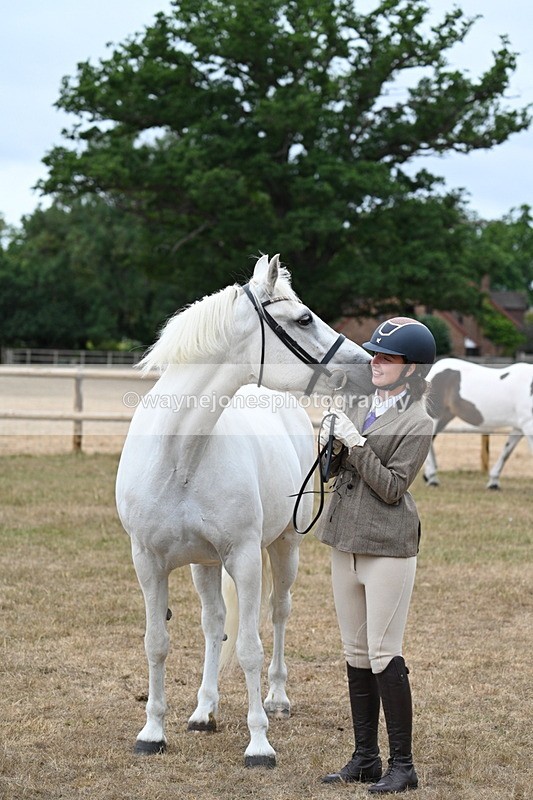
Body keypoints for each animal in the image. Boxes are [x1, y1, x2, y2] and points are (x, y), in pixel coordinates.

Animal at [115, 254, 371, 767]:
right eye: (304, 319)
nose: (366, 366)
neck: (180, 458)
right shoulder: (148, 562)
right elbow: (157, 644)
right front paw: (153, 733)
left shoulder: (246, 558)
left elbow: (251, 648)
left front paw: (259, 744)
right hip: (204, 564)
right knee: (214, 625)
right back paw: (204, 710)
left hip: (283, 549)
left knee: (277, 614)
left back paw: (277, 699)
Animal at [423, 357, 533, 489]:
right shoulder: (528, 426)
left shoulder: (520, 428)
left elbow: (506, 452)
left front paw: (493, 482)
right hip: (435, 415)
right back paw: (432, 478)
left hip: (445, 416)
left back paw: (429, 476)